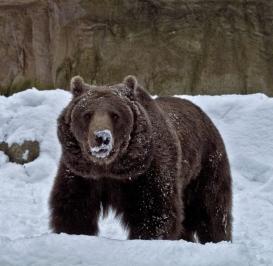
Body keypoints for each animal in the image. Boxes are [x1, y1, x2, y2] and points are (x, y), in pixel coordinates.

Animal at [49, 75, 232, 243]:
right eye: (87, 114)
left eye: (115, 115)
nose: (101, 137)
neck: (110, 167)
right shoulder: (81, 173)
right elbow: (74, 208)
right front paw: (74, 233)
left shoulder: (147, 172)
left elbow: (155, 213)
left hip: (205, 166)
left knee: (211, 210)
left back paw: (218, 239)